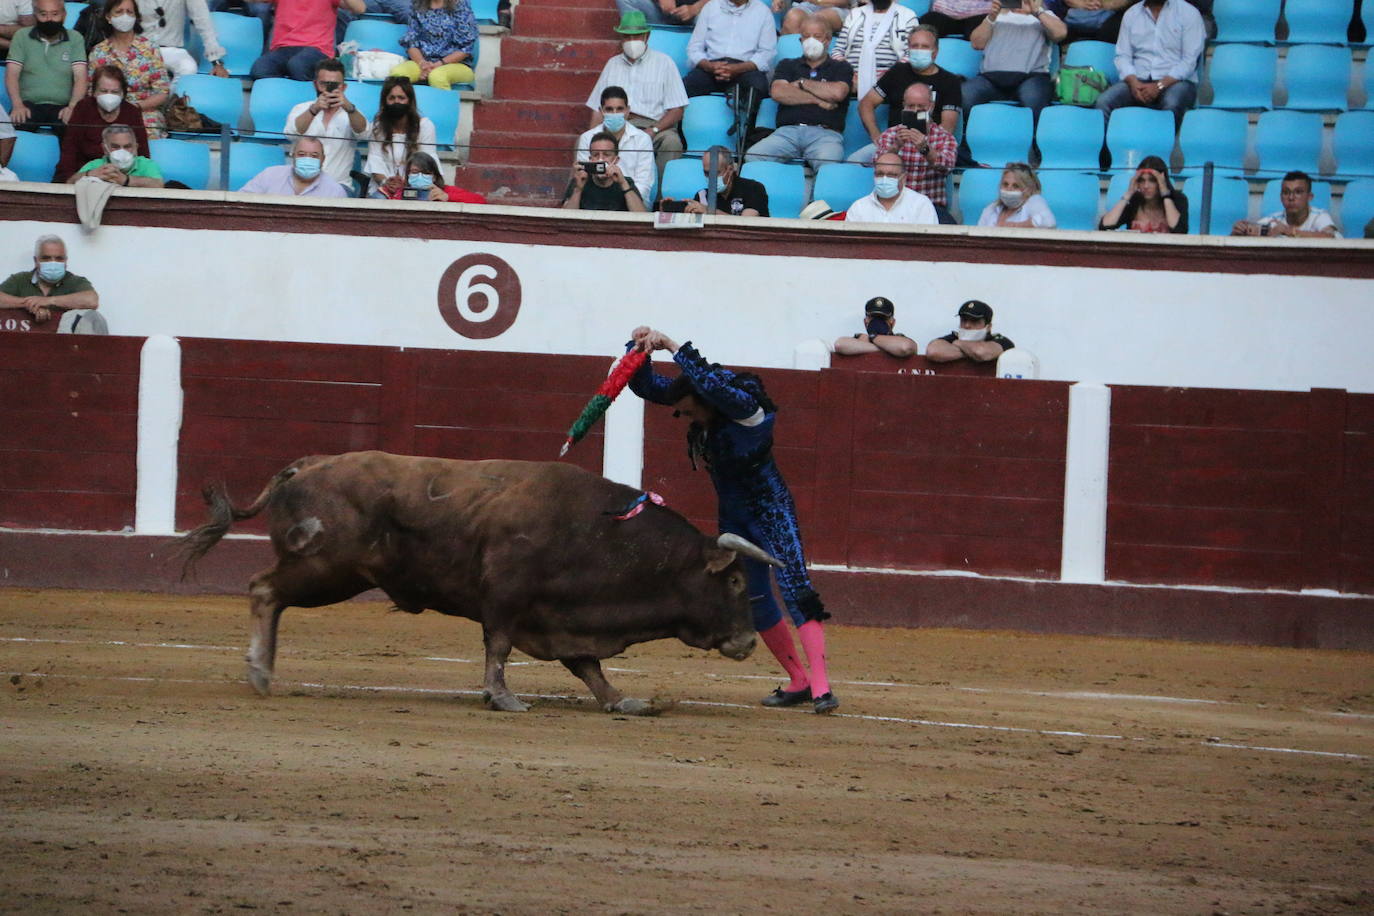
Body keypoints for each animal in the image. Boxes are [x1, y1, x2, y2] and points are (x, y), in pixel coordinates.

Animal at [175, 450, 774, 714]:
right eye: (736, 581)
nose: (749, 641)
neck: (601, 532)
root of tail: (305, 467)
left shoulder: (563, 615)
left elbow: (587, 666)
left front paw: (620, 699)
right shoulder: (506, 598)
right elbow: (499, 647)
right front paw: (502, 697)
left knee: (269, 593)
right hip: (325, 569)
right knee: (263, 589)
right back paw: (259, 672)